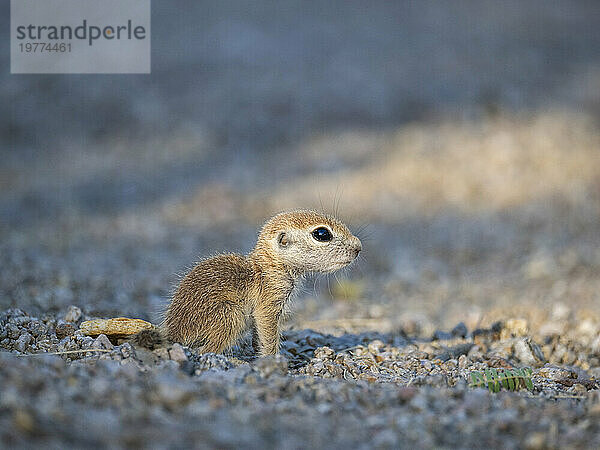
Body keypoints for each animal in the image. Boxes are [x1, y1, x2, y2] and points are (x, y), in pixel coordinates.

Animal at [159, 210, 360, 356]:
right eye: (322, 234)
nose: (358, 247)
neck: (270, 265)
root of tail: (174, 333)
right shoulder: (270, 299)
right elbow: (267, 328)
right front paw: (273, 361)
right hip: (230, 314)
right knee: (206, 350)